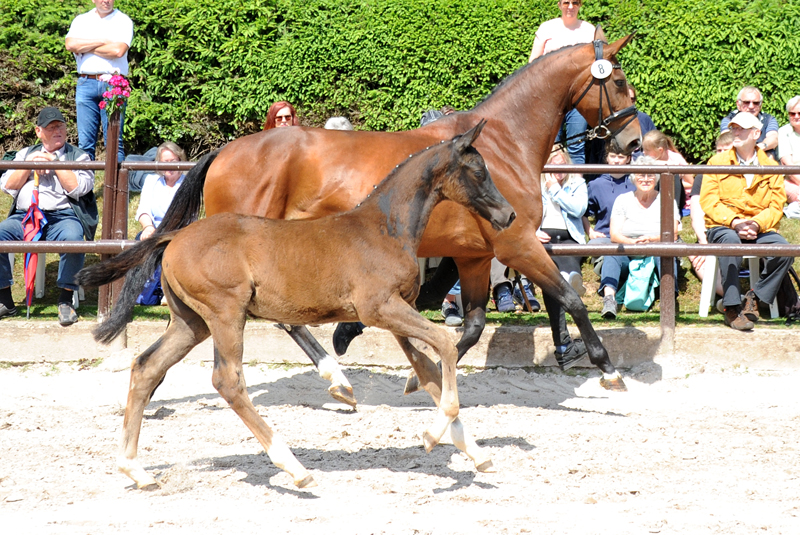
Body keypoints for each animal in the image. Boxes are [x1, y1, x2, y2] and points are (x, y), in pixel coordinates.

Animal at [101, 26, 636, 402]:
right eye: (620, 82)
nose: (632, 141)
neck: (504, 144)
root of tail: (226, 151)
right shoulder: (517, 241)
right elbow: (572, 299)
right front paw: (608, 368)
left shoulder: (476, 255)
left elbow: (472, 324)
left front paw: (418, 378)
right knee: (284, 319)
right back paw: (335, 375)